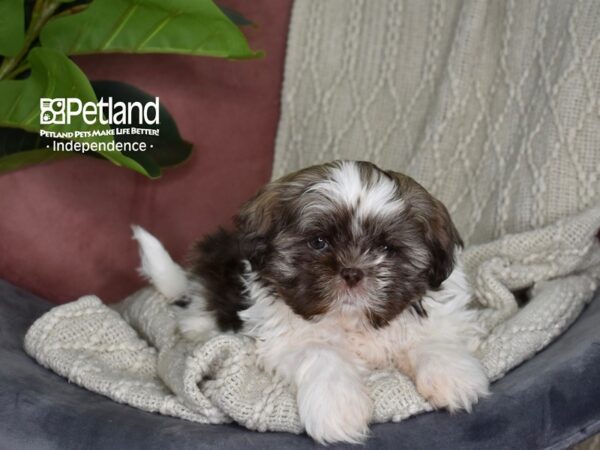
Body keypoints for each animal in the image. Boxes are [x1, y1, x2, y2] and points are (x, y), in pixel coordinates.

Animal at [131, 161, 488, 442]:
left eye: (387, 248)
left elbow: (431, 338)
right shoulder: (281, 339)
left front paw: (454, 377)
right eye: (319, 242)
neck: (353, 322)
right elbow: (321, 353)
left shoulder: (441, 315)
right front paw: (338, 407)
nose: (352, 272)